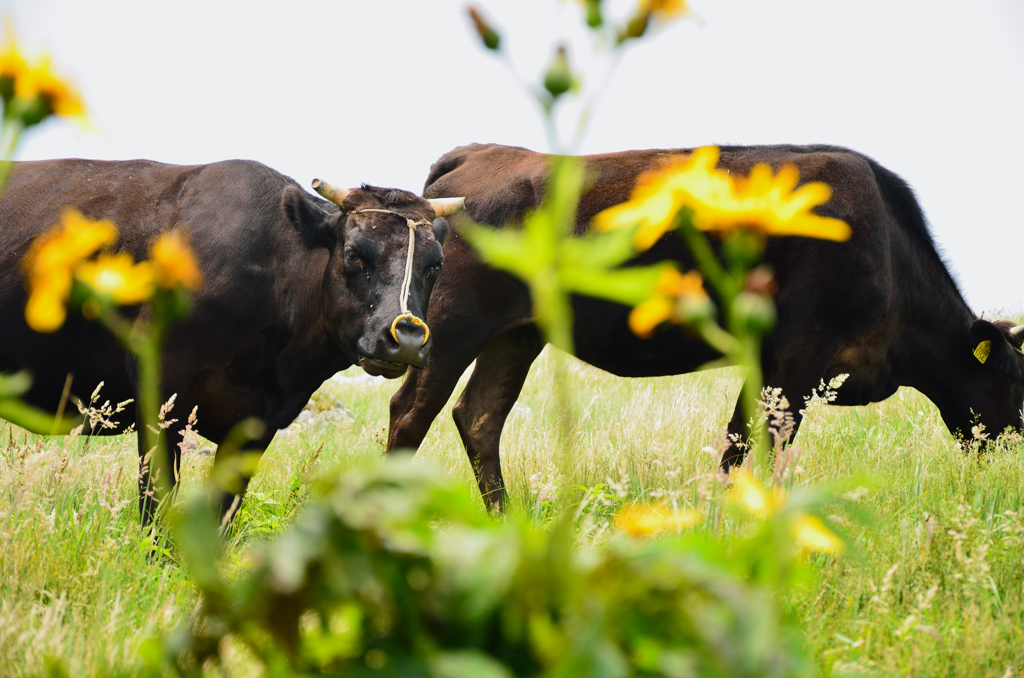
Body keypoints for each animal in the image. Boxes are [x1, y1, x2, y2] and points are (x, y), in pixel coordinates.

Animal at [0, 157, 464, 524]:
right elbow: (157, 504)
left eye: (436, 264)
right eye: (353, 253)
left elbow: (222, 513)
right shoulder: (161, 392)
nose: (407, 337)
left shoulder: (258, 423)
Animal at [387, 144, 1024, 516]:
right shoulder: (803, 352)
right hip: (449, 327)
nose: (1017, 438)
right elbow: (770, 439)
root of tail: (475, 155)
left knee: (479, 415)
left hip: (517, 334)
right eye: (1016, 381)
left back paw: (506, 518)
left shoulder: (766, 359)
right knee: (411, 411)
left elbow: (737, 437)